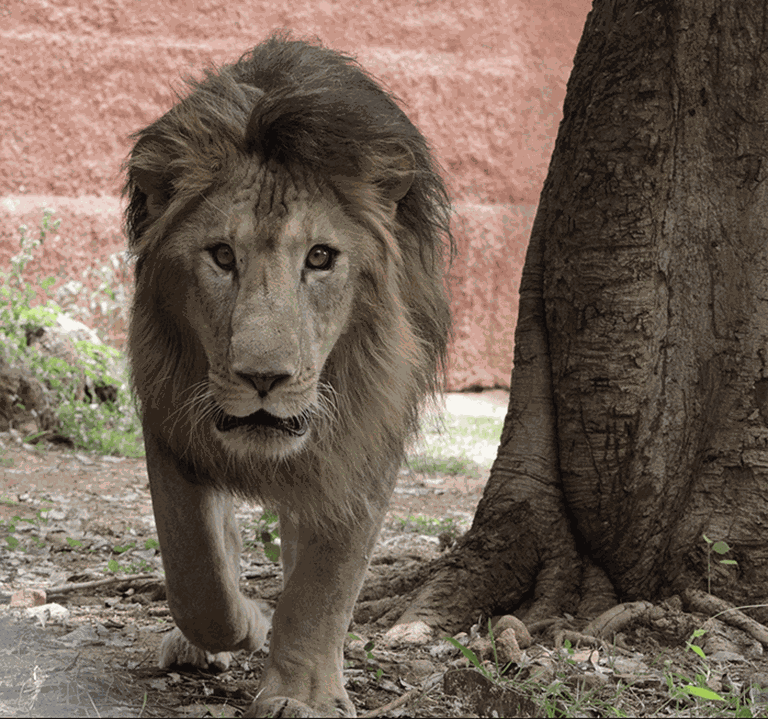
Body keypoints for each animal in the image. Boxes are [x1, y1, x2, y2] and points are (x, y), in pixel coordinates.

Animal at [123, 33, 452, 719]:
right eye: (222, 255)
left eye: (321, 258)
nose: (263, 378)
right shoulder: (168, 420)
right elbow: (195, 569)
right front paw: (245, 624)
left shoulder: (365, 438)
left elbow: (325, 582)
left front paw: (300, 694)